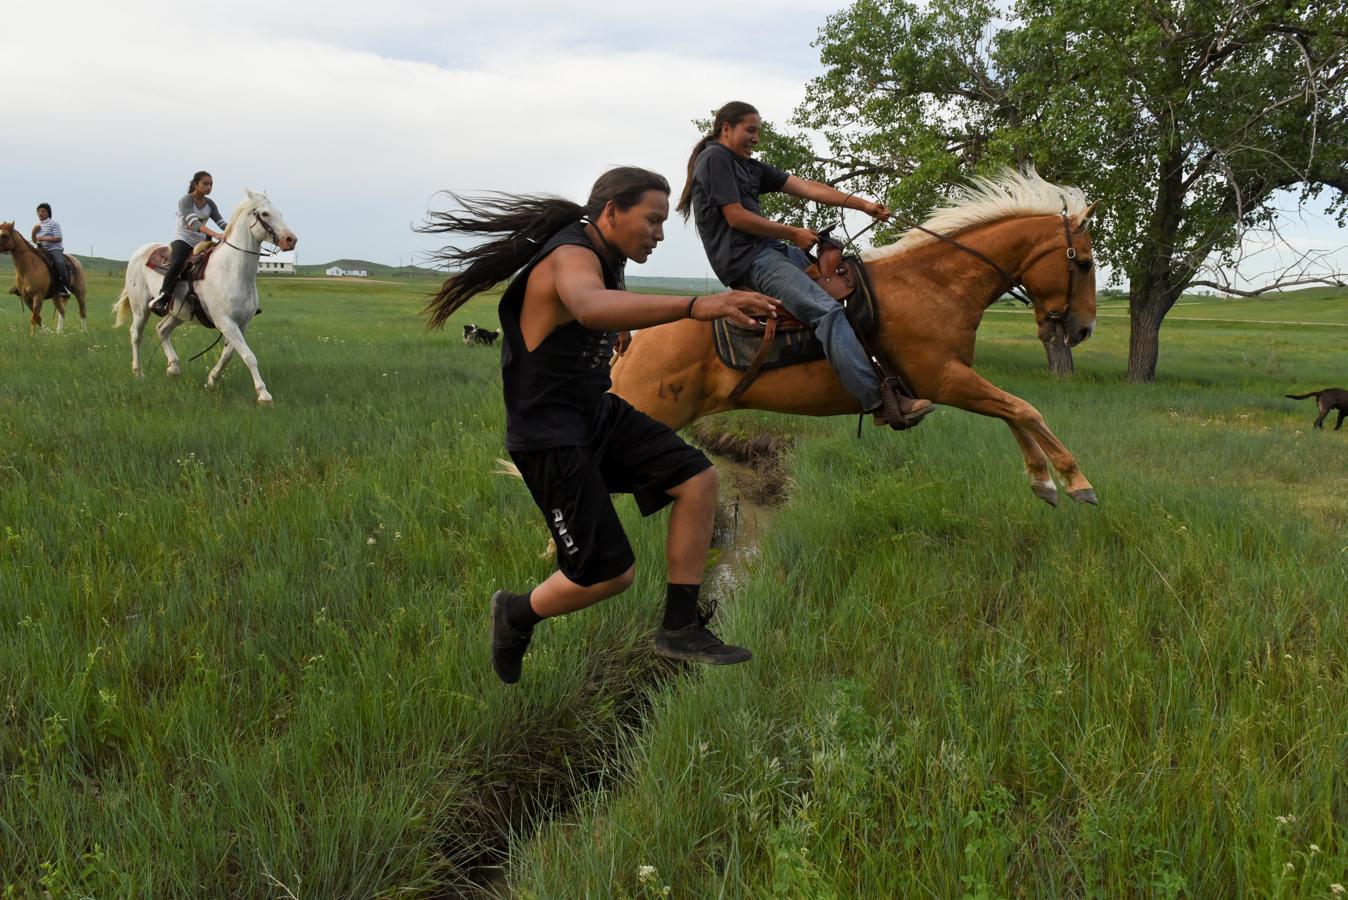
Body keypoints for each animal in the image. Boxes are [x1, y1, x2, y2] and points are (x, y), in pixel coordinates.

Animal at [113, 191, 297, 406]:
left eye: (280, 213)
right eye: (265, 213)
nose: (290, 240)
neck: (231, 270)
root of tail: (140, 252)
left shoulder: (241, 324)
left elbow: (228, 355)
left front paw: (211, 381)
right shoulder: (226, 322)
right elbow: (248, 356)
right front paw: (264, 395)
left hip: (178, 313)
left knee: (162, 330)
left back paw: (173, 368)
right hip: (141, 307)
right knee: (136, 334)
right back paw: (139, 373)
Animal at [611, 168, 1094, 506]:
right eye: (1085, 263)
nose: (1083, 328)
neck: (931, 284)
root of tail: (631, 342)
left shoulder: (956, 379)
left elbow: (1013, 413)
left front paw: (1043, 481)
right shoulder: (944, 380)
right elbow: (1025, 409)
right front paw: (1075, 481)